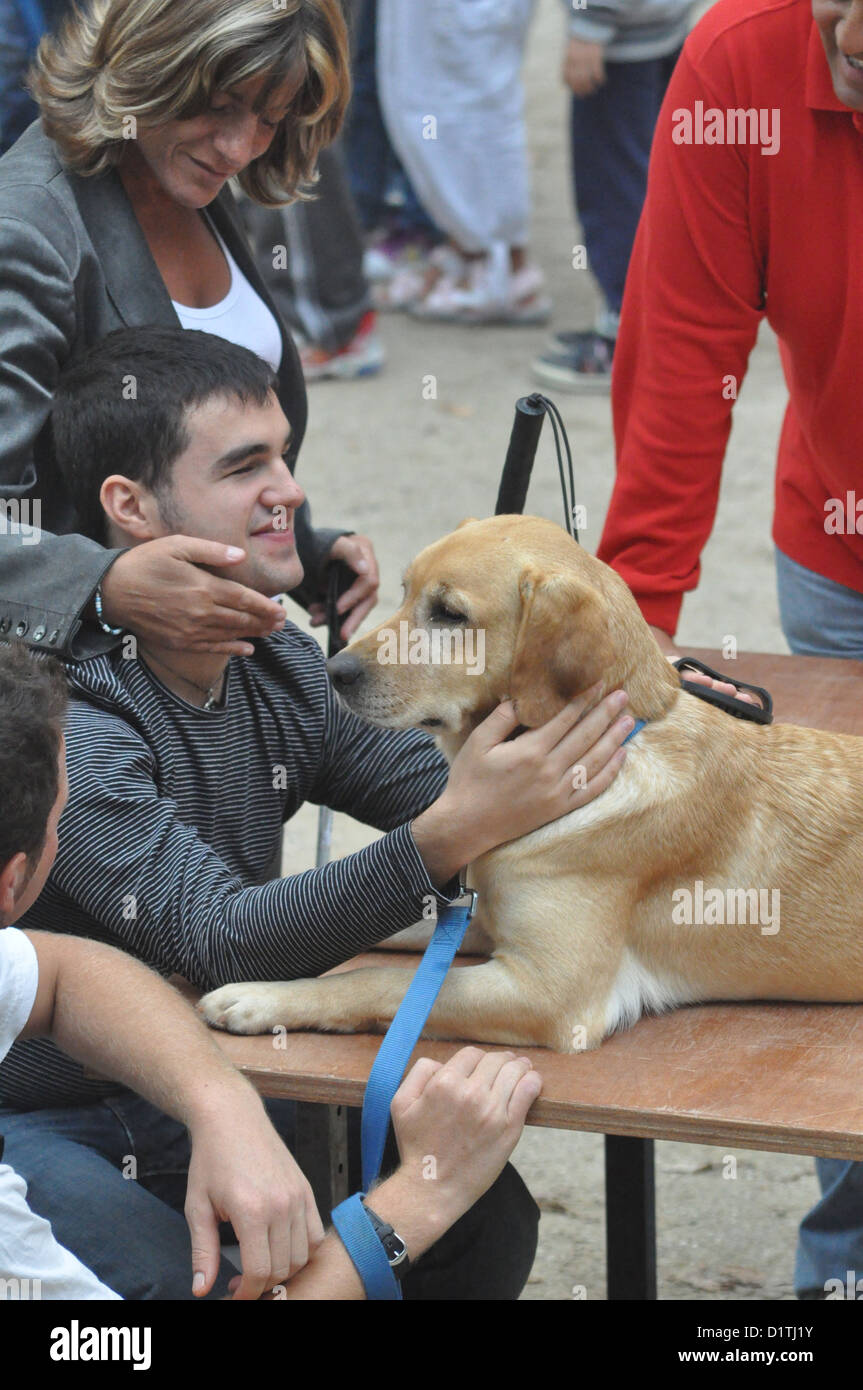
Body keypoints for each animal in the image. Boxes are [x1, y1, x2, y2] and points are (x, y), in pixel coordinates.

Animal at [198, 517, 861, 1045]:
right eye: (403, 591)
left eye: (450, 614)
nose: (334, 670)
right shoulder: (478, 916)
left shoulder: (547, 992)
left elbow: (379, 980)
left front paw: (263, 999)